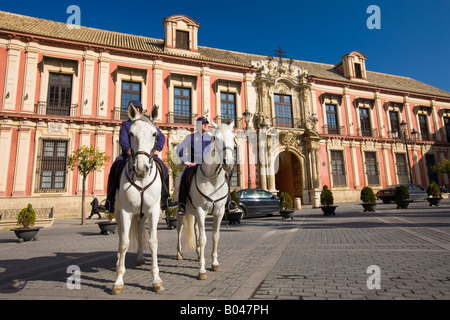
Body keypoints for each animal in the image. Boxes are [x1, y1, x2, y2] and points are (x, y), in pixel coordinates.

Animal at [111, 105, 164, 296]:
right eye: (131, 133)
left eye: (154, 134)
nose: (141, 168)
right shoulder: (126, 211)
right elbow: (124, 243)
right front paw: (118, 281)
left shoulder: (153, 211)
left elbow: (153, 242)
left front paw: (156, 280)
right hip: (118, 213)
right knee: (121, 236)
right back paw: (117, 262)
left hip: (141, 214)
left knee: (140, 232)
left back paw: (140, 257)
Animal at [176, 121, 237, 278]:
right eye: (216, 138)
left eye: (233, 137)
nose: (228, 163)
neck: (213, 179)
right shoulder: (201, 211)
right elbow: (203, 239)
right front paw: (202, 270)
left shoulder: (219, 212)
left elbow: (215, 236)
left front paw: (214, 263)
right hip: (182, 212)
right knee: (180, 229)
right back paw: (179, 253)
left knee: (196, 229)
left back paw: (199, 254)